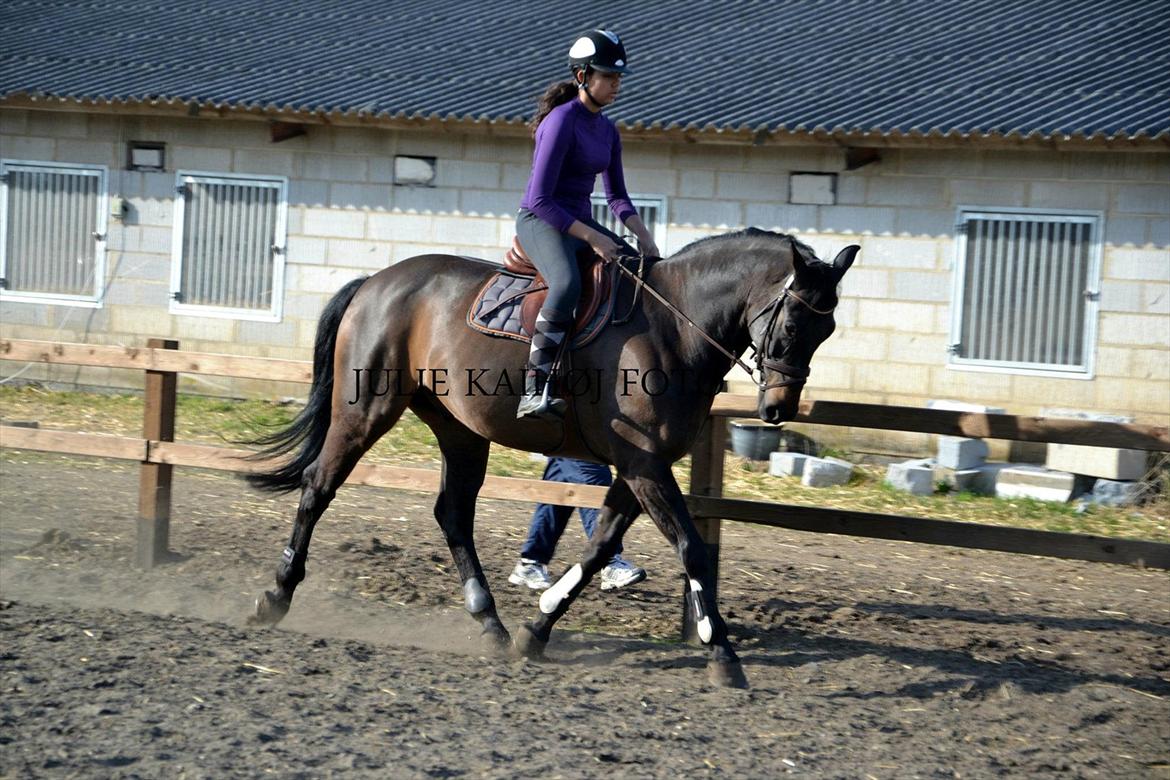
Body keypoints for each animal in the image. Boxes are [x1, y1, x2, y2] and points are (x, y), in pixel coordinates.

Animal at [244, 229, 861, 687]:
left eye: (828, 328)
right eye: (793, 324)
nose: (779, 409)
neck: (673, 325)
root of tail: (376, 281)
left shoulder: (638, 468)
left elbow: (599, 546)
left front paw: (536, 630)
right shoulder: (644, 466)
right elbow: (691, 549)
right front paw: (722, 653)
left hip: (460, 430)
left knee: (452, 514)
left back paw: (490, 623)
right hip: (365, 410)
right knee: (319, 487)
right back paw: (274, 596)